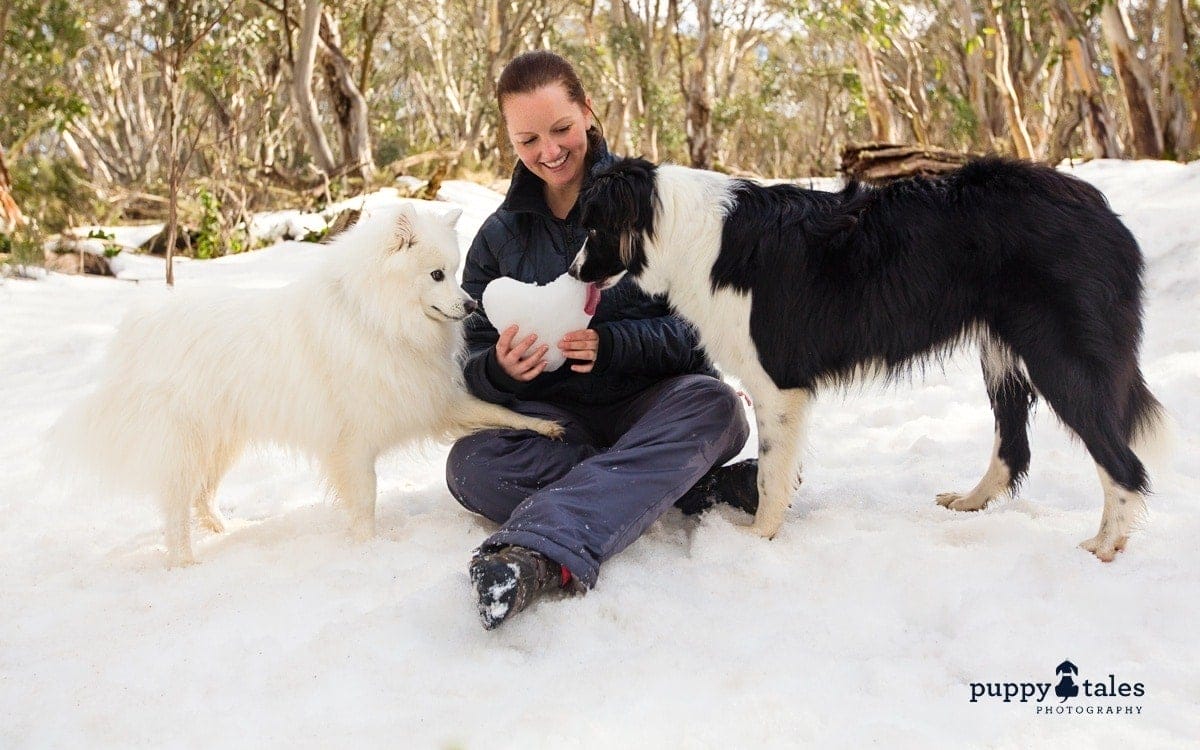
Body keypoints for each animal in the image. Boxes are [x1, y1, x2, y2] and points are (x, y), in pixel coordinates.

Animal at [56, 201, 561, 564]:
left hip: (221, 441)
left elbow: (495, 411)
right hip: (188, 440)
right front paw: (368, 550)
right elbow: (365, 502)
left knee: (201, 493)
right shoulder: (353, 445)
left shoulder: (430, 399)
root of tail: (139, 328)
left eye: (456, 273)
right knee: (177, 506)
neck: (376, 318)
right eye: (437, 275)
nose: (472, 304)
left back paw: (222, 530)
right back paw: (185, 563)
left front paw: (547, 427)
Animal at [571, 154, 1161, 559]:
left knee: (1124, 461)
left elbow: (770, 474)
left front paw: (759, 536)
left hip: (1060, 359)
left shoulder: (776, 383)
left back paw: (1106, 544)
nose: (574, 271)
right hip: (1002, 352)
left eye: (593, 226)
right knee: (1013, 447)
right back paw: (972, 503)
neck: (679, 227)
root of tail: (1101, 209)